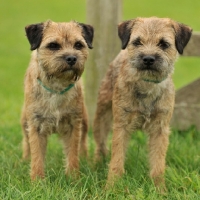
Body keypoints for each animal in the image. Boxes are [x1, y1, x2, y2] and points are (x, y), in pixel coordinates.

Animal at [21, 19, 93, 180]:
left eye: (78, 45)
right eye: (53, 45)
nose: (71, 58)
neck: (57, 87)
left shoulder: (74, 124)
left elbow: (73, 153)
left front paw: (73, 178)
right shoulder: (35, 126)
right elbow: (37, 155)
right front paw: (37, 181)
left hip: (84, 120)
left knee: (83, 142)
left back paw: (86, 159)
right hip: (24, 121)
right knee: (26, 142)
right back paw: (24, 160)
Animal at [94, 16, 192, 189]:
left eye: (163, 44)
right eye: (137, 42)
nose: (148, 58)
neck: (147, 84)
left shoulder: (160, 129)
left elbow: (158, 162)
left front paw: (159, 189)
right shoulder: (121, 126)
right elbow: (117, 159)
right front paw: (111, 187)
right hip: (102, 115)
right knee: (100, 143)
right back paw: (96, 164)